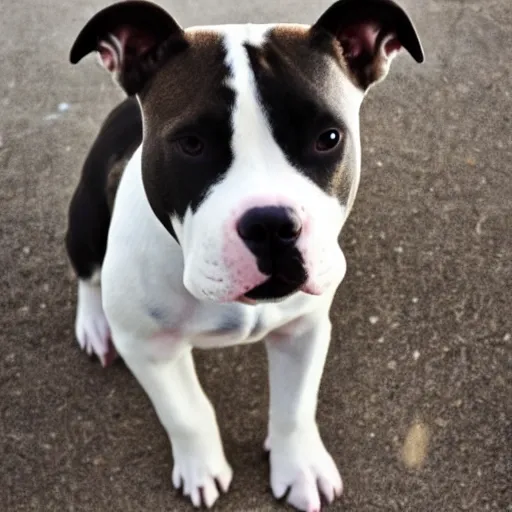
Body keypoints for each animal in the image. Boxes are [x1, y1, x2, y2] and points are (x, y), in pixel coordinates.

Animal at [66, 2, 422, 510]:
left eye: (329, 138)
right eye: (191, 144)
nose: (271, 225)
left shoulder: (304, 329)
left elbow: (295, 407)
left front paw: (299, 466)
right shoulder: (149, 348)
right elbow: (186, 412)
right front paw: (202, 467)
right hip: (88, 217)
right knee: (87, 273)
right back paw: (95, 324)